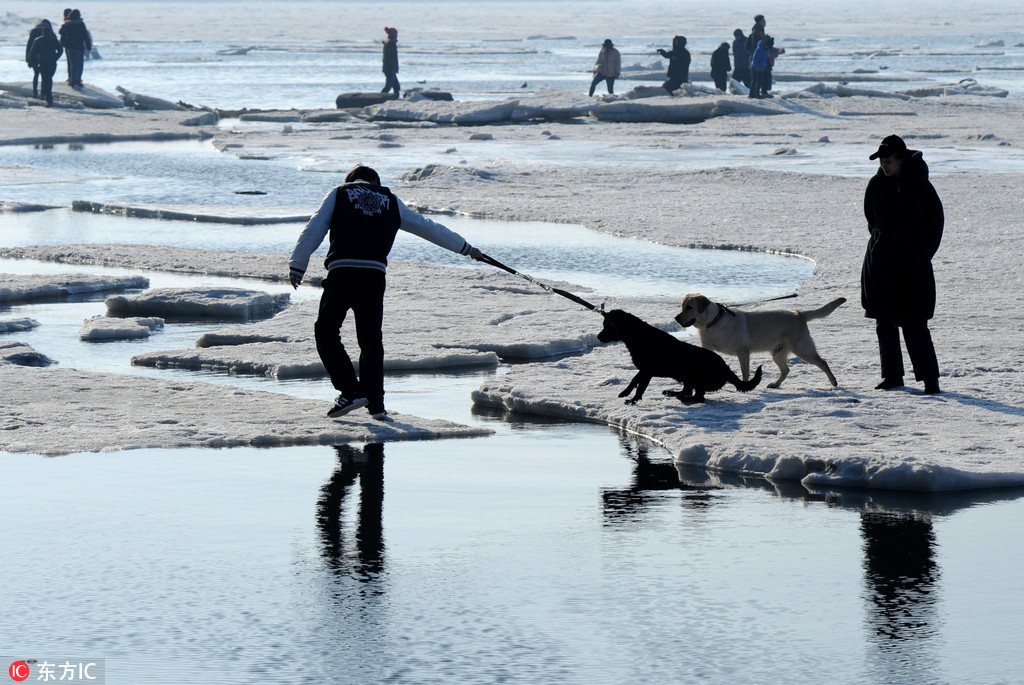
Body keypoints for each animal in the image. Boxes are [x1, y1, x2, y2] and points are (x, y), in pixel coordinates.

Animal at [593, 309, 761, 403]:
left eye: (607, 326)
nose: (598, 337)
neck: (639, 336)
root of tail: (726, 368)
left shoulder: (648, 371)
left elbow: (640, 387)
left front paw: (633, 400)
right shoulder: (644, 370)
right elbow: (634, 380)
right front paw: (625, 392)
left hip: (696, 377)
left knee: (698, 397)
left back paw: (682, 398)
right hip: (688, 378)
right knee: (688, 391)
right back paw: (672, 393)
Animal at [671, 292, 847, 387]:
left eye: (689, 307)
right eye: (681, 306)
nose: (676, 318)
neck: (712, 323)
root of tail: (800, 315)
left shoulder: (742, 352)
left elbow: (745, 372)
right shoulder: (708, 348)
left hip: (802, 349)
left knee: (822, 362)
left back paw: (833, 382)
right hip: (777, 353)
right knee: (786, 370)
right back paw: (775, 384)